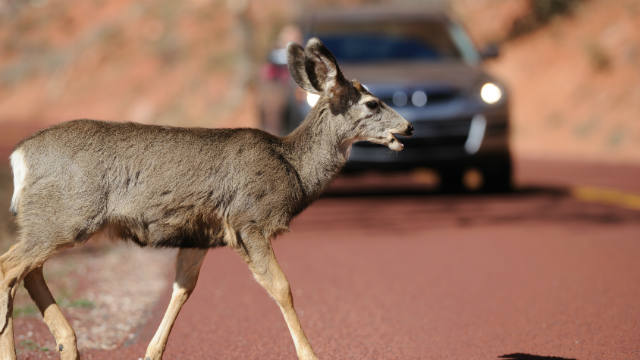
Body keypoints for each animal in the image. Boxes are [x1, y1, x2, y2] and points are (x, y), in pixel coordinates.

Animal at [0, 38, 410, 358]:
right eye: (372, 103)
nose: (407, 126)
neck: (292, 168)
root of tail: (19, 156)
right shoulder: (249, 220)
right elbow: (282, 288)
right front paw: (310, 353)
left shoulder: (199, 235)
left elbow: (182, 290)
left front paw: (151, 353)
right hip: (66, 215)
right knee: (9, 267)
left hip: (52, 220)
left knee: (28, 270)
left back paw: (68, 343)